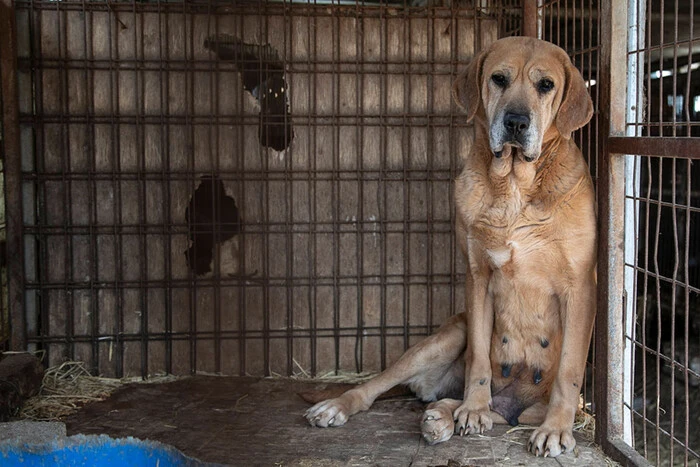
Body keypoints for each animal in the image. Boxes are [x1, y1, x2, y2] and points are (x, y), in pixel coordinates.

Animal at [304, 37, 592, 460]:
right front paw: (473, 408)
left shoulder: (580, 289)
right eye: (499, 79)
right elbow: (479, 359)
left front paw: (556, 429)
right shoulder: (477, 278)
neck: (515, 184)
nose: (516, 122)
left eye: (546, 85)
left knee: (456, 403)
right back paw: (353, 407)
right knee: (380, 385)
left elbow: (569, 372)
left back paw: (442, 418)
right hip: (446, 336)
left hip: (517, 405)